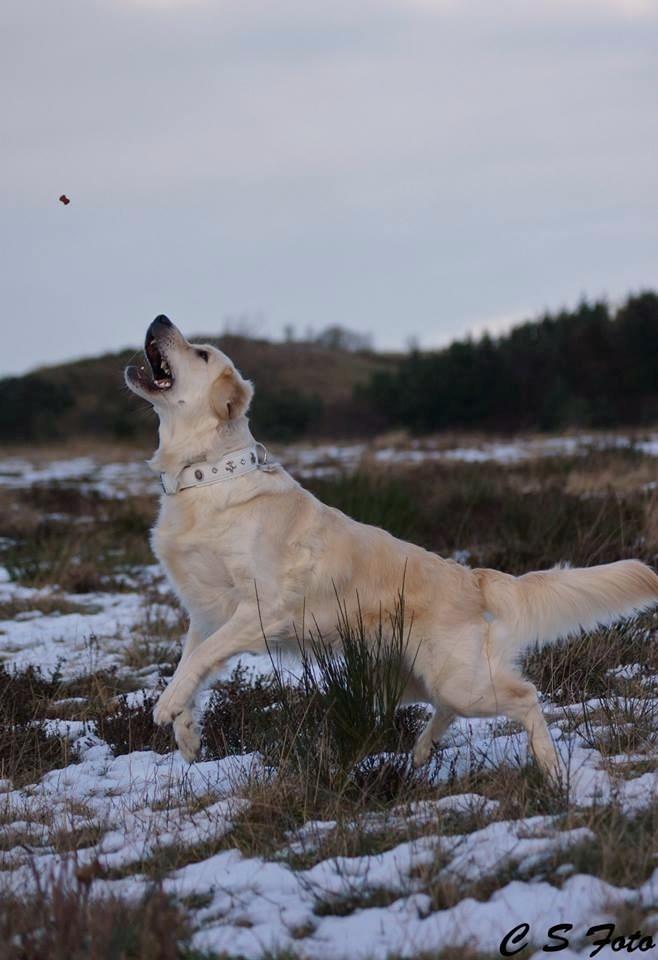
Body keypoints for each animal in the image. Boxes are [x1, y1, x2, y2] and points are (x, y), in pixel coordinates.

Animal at [124, 316, 656, 780]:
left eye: (200, 353)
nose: (160, 318)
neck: (205, 476)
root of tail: (471, 576)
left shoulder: (260, 609)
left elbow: (200, 660)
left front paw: (166, 707)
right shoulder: (207, 612)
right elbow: (193, 662)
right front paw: (187, 732)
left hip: (456, 678)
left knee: (524, 695)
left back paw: (550, 770)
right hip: (411, 677)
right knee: (448, 708)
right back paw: (421, 753)